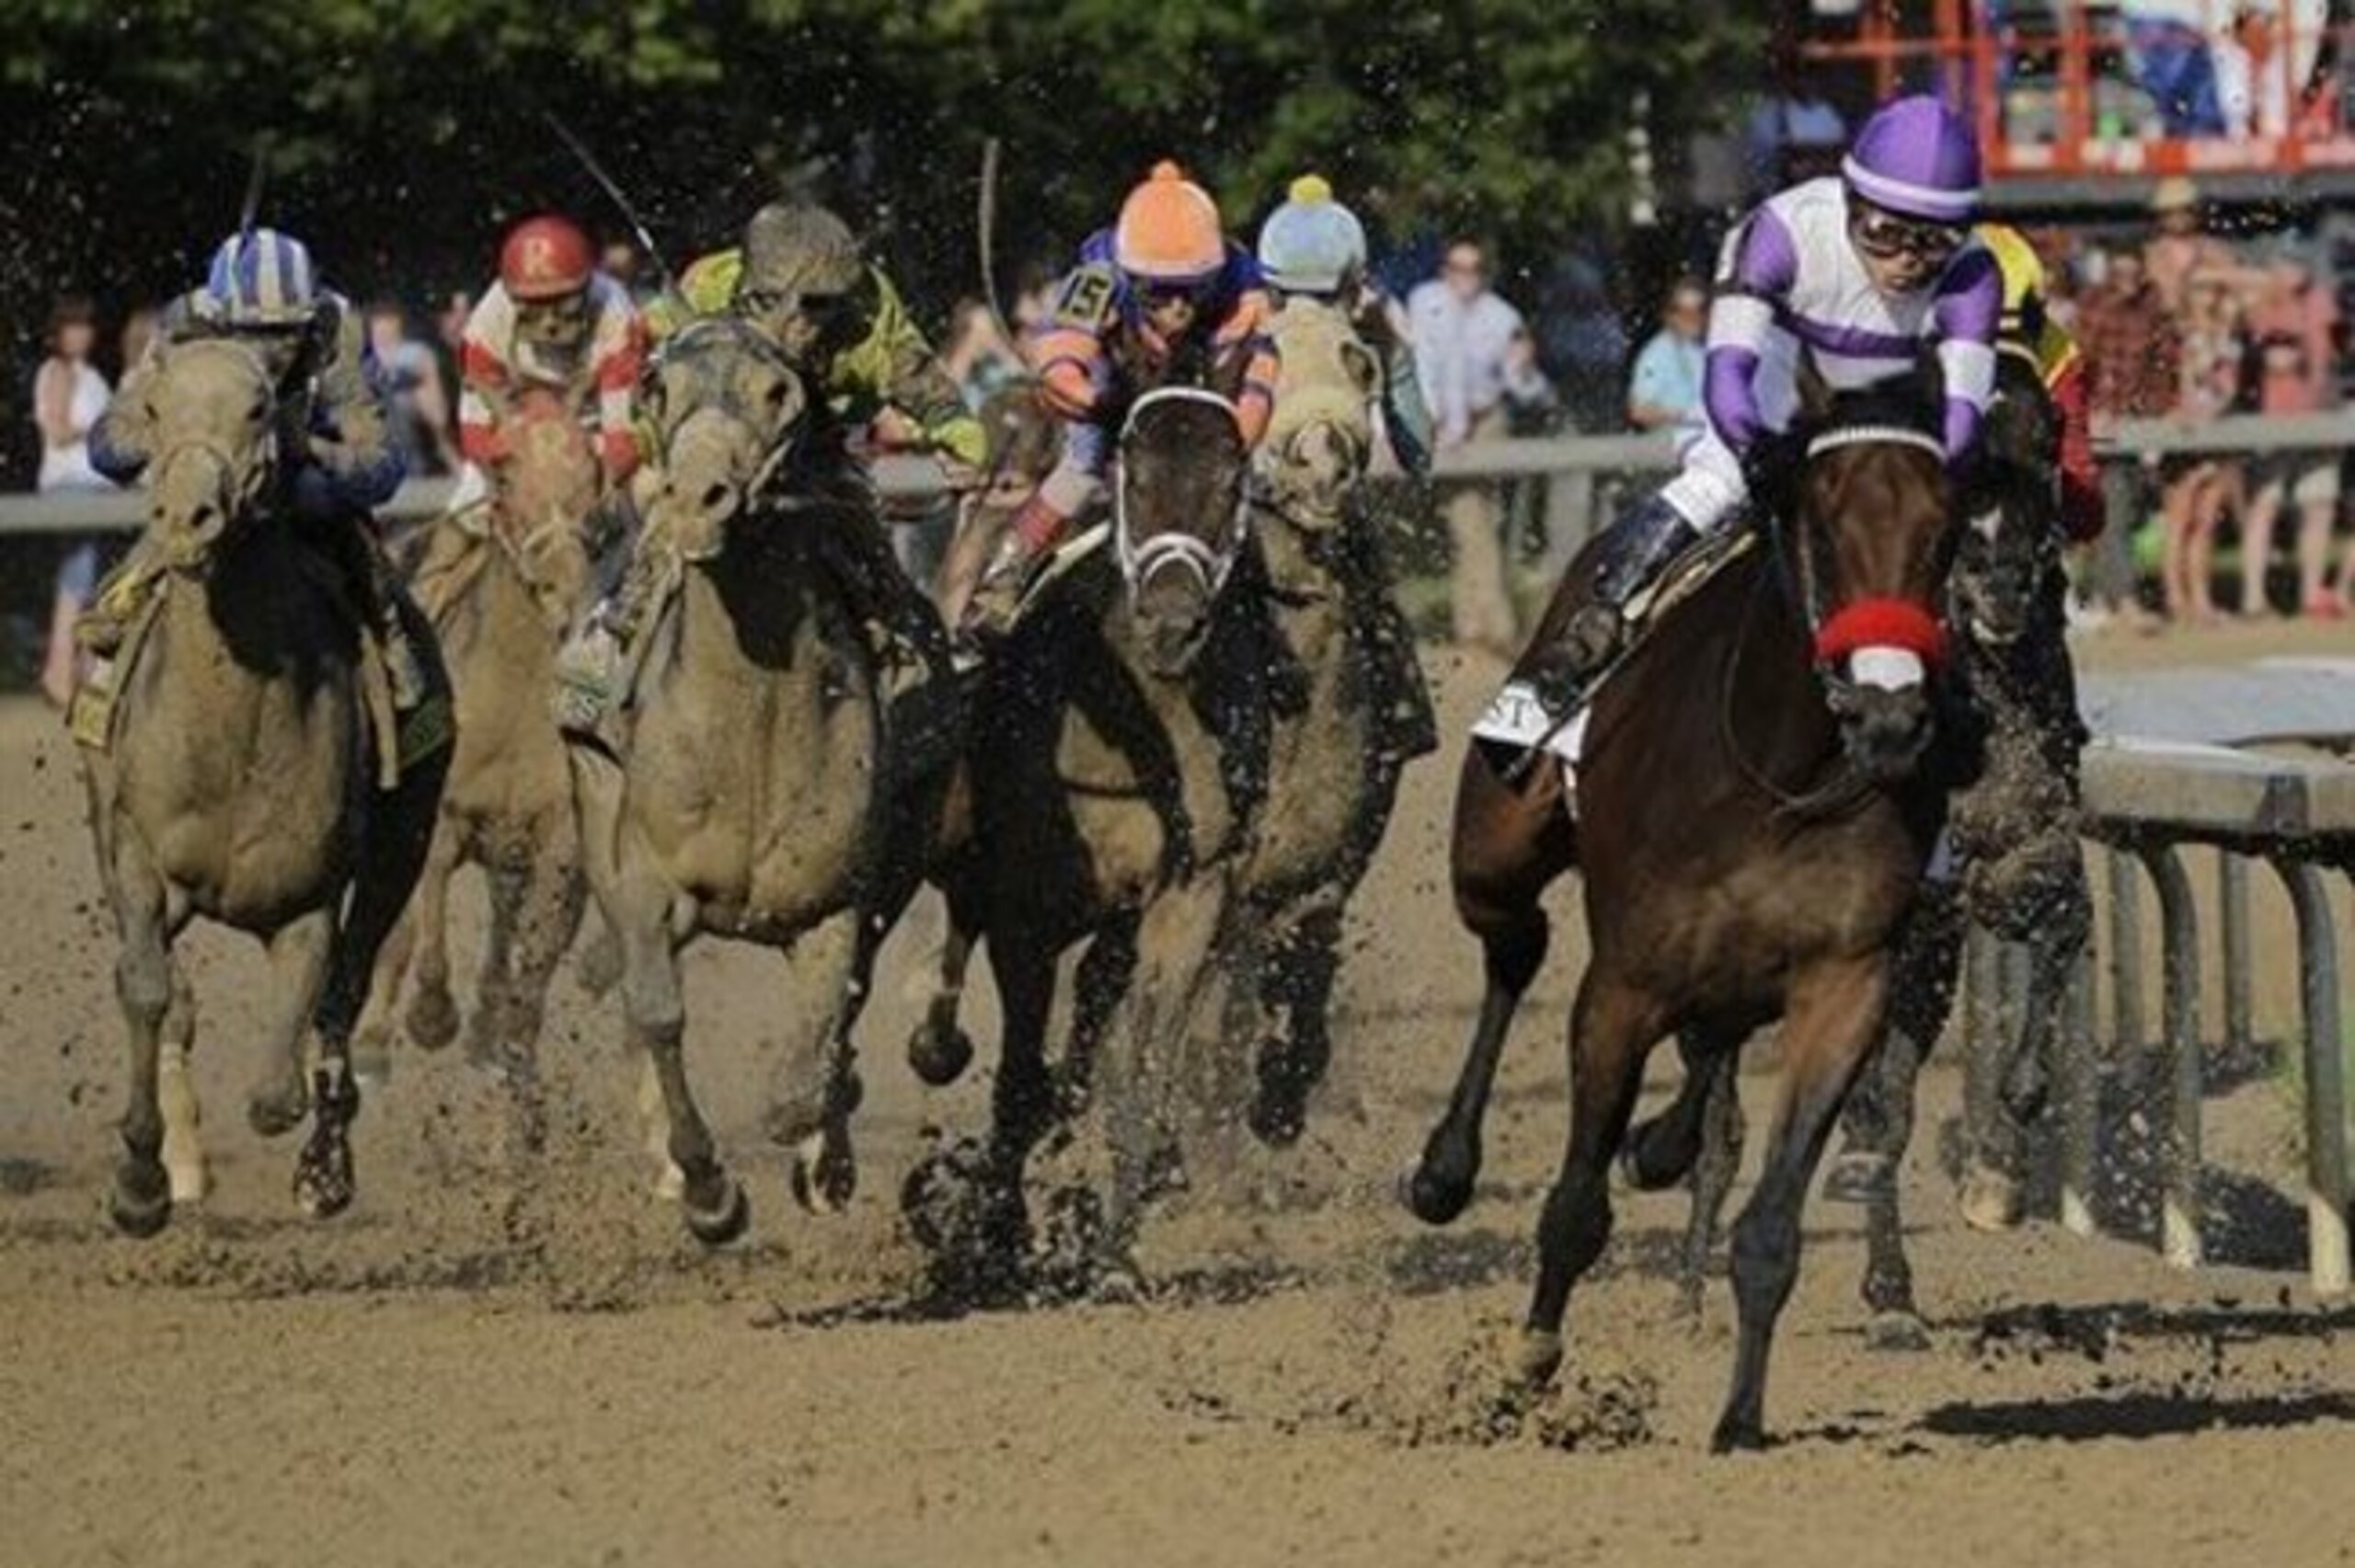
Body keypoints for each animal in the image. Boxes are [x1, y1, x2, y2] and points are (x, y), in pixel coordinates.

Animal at [74, 335, 447, 1232]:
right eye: (154, 406)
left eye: (256, 408)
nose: (187, 518)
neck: (227, 741)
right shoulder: (135, 851)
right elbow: (147, 987)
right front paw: (141, 1182)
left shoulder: (308, 895)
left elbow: (282, 1082)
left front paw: (318, 1163)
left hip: (404, 842)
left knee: (348, 987)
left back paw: (326, 1169)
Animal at [354, 387, 602, 1104]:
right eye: (506, 472)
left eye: (594, 476)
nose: (560, 588)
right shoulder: (439, 818)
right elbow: (426, 921)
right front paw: (431, 1016)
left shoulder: (558, 838)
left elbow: (532, 957)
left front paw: (507, 1041)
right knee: (399, 929)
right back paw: (373, 1040)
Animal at [566, 316, 953, 1244]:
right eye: (658, 388)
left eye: (780, 392)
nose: (697, 498)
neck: (744, 731)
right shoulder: (643, 877)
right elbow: (658, 1011)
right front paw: (707, 1187)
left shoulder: (836, 899)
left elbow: (815, 1053)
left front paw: (823, 1156)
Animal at [904, 384, 1271, 1280]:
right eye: (1133, 475)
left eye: (1231, 479)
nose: (1173, 624)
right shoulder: (1025, 912)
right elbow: (1017, 1079)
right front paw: (992, 1236)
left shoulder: (1188, 893)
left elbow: (1141, 1065)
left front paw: (1112, 1238)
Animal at [1405, 373, 1962, 1449]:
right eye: (1824, 521)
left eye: (1942, 529)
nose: (1889, 718)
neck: (1779, 772)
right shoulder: (1621, 983)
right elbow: (1576, 1204)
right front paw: (1528, 1365)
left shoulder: (1846, 982)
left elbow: (1773, 1224)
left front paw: (1740, 1417)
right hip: (1492, 854)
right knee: (1516, 947)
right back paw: (1445, 1170)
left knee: (1707, 1042)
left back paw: (1659, 1141)